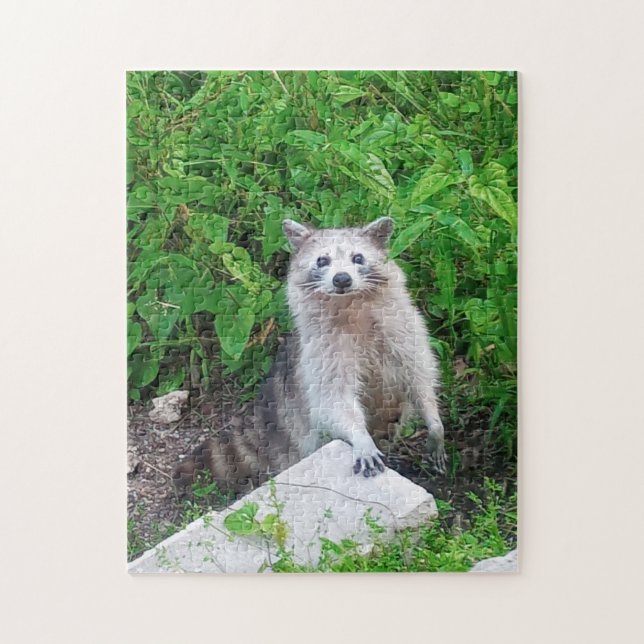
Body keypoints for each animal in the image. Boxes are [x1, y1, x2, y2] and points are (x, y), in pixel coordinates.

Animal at [173, 217, 446, 495]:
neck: (349, 304)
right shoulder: (321, 350)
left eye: (358, 258)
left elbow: (419, 376)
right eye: (322, 260)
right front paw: (360, 436)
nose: (342, 279)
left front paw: (433, 420)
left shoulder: (403, 328)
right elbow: (334, 399)